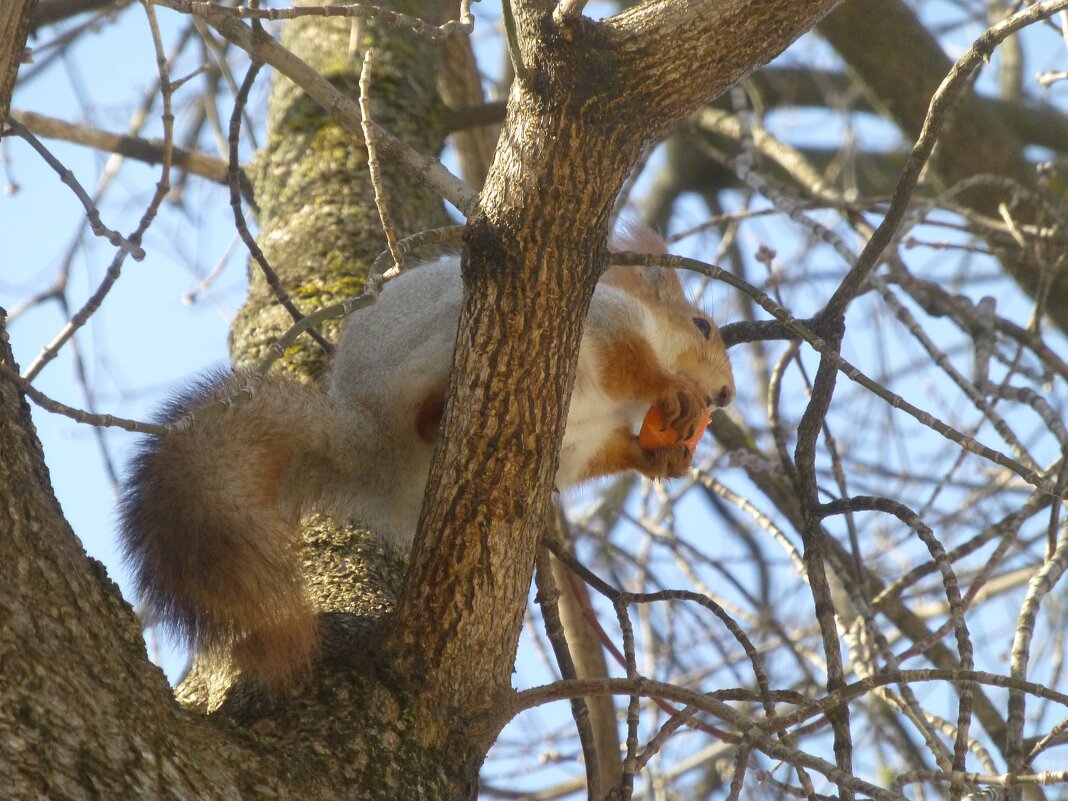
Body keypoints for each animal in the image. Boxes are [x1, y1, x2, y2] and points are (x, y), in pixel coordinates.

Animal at [119, 226, 734, 692]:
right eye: (702, 326)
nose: (725, 395)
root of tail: (372, 441)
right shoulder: (607, 324)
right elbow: (639, 364)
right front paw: (676, 387)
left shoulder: (587, 443)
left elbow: (615, 451)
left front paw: (665, 461)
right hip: (442, 337)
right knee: (423, 411)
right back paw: (435, 413)